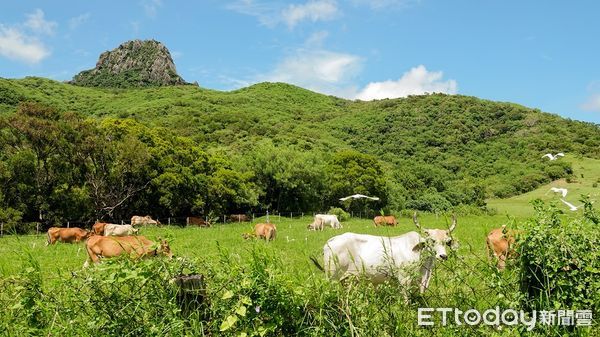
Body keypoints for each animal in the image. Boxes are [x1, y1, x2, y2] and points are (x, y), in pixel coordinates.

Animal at [312, 214, 458, 292]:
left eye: (447, 242)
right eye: (432, 241)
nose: (443, 256)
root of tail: (330, 241)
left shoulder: (424, 281)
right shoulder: (404, 279)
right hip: (333, 277)